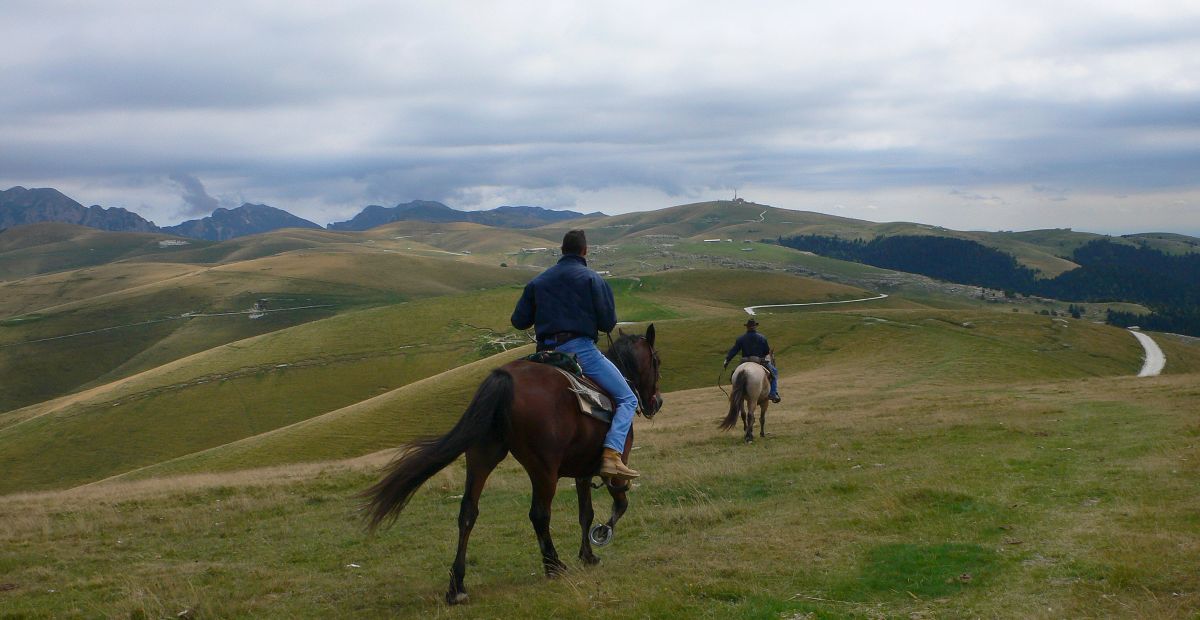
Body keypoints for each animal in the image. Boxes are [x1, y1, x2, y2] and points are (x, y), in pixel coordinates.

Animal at [360, 326, 662, 602]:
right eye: (656, 361)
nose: (657, 402)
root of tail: (505, 379)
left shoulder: (582, 472)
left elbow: (585, 513)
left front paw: (588, 555)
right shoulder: (616, 462)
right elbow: (619, 504)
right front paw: (601, 534)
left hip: (482, 456)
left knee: (468, 512)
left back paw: (457, 586)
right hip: (543, 469)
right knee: (539, 514)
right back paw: (554, 566)